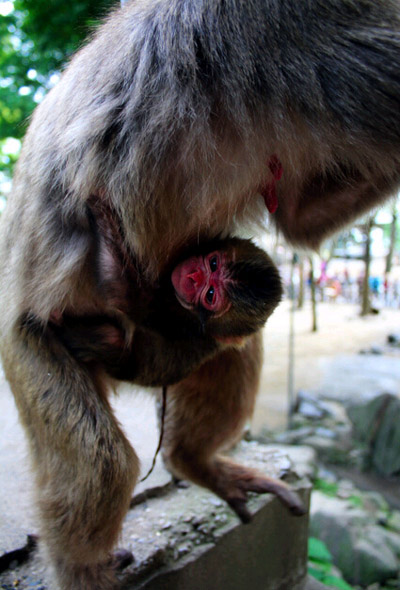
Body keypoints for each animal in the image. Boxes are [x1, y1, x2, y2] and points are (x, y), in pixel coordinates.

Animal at [0, 0, 400, 588]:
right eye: (207, 266)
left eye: (214, 283)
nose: (195, 282)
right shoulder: (286, 32)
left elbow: (296, 220)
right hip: (26, 343)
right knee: (103, 462)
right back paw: (86, 567)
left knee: (228, 352)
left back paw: (193, 462)